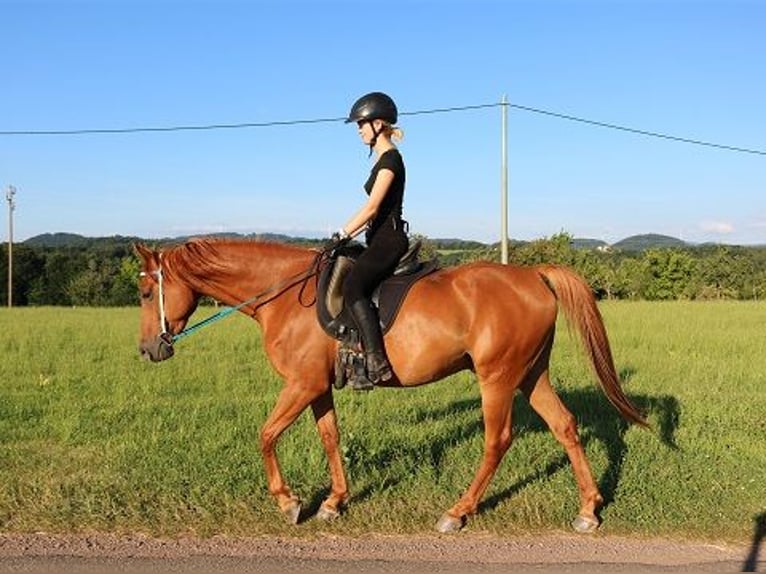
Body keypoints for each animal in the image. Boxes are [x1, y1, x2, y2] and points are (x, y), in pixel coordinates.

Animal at [135, 238, 648, 534]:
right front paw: (334, 502)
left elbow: (265, 434)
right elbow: (330, 437)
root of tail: (534, 275)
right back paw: (589, 509)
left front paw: (289, 503)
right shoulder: (318, 387)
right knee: (566, 426)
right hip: (530, 374)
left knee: (497, 440)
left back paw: (457, 511)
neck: (283, 295)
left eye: (144, 292)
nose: (147, 350)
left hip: (498, 378)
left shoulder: (300, 384)